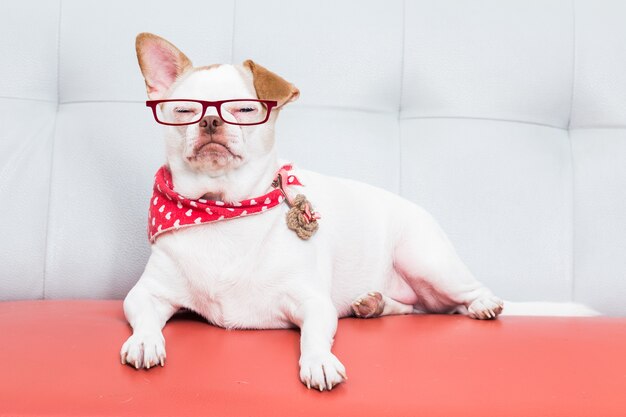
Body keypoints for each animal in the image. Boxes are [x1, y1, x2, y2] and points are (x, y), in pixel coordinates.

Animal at [120, 32, 502, 390]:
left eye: (245, 110)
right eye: (184, 111)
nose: (211, 121)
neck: (221, 208)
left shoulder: (313, 302)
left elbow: (314, 336)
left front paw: (319, 361)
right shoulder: (145, 294)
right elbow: (143, 316)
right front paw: (144, 341)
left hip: (426, 261)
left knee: (462, 297)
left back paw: (483, 305)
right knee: (412, 307)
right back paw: (373, 304)